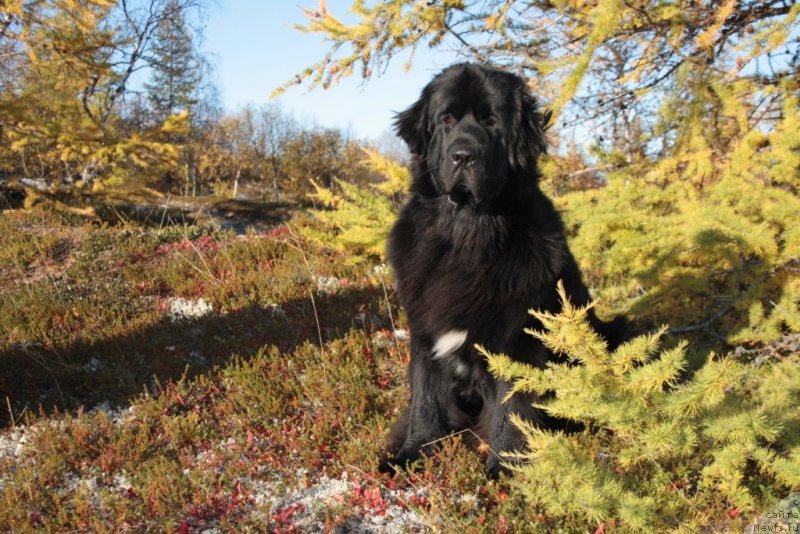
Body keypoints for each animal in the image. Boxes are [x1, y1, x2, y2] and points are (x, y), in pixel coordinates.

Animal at [382, 63, 624, 482]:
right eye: (445, 120)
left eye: (492, 122)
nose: (463, 155)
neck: (467, 232)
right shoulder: (426, 333)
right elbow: (426, 399)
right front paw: (411, 452)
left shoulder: (519, 340)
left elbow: (512, 409)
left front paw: (505, 468)